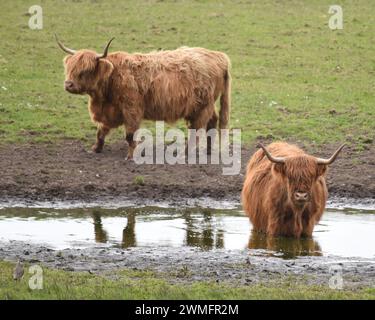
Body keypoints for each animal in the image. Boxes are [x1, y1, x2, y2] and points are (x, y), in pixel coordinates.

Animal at [56, 35, 232, 159]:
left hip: (202, 107)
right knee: (212, 121)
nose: (68, 84)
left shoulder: (131, 109)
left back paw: (186, 153)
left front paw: (130, 156)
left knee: (198, 130)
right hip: (204, 105)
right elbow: (101, 131)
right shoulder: (111, 111)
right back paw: (208, 150)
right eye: (70, 68)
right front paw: (95, 149)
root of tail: (219, 56)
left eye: (85, 70)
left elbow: (130, 135)